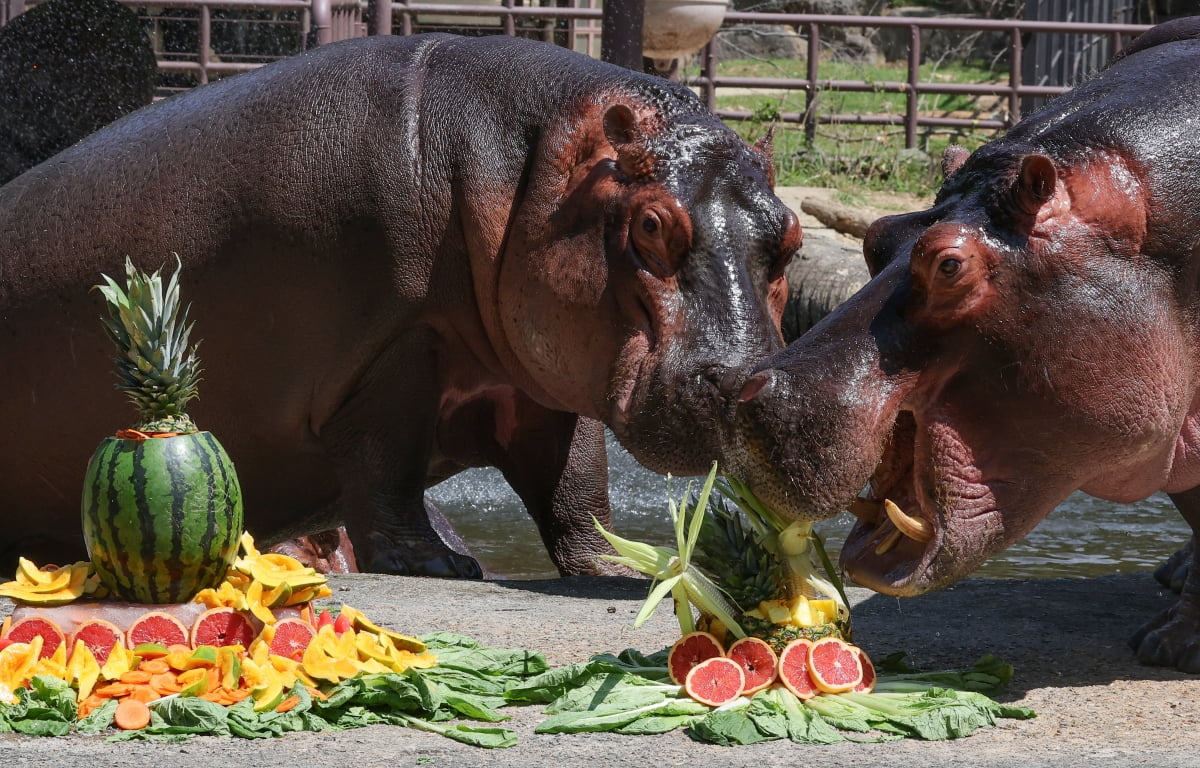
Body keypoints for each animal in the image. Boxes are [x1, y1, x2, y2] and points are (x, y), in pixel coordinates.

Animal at [2, 33, 796, 578]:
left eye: (788, 236)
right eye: (652, 224)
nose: (745, 383)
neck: (525, 174)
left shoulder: (543, 374)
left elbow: (576, 485)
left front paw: (621, 565)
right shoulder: (391, 352)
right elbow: (387, 462)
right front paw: (440, 565)